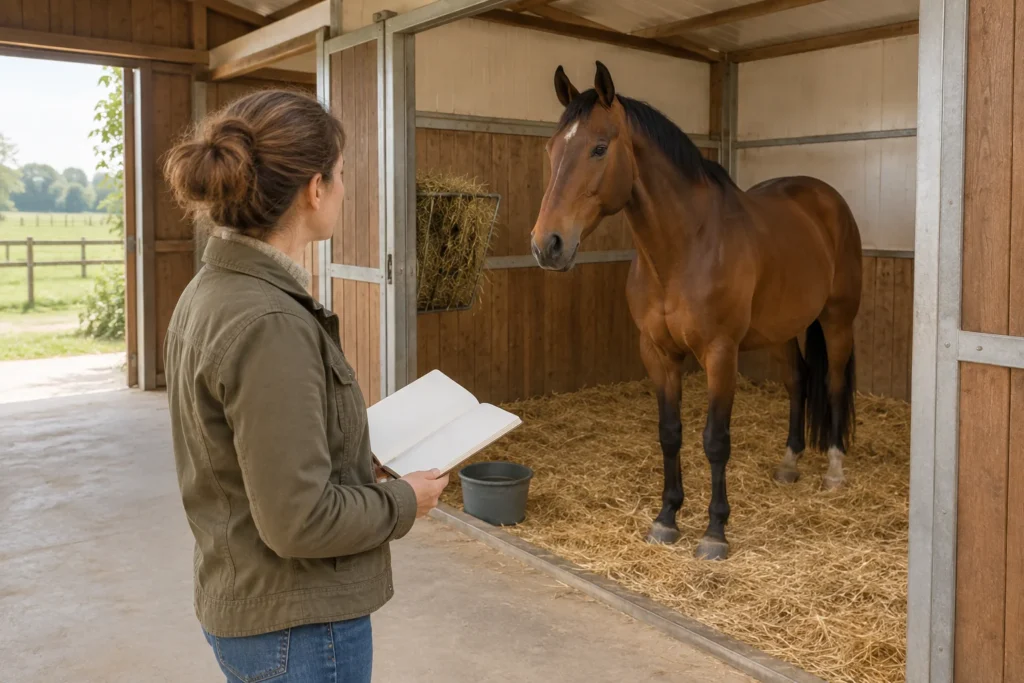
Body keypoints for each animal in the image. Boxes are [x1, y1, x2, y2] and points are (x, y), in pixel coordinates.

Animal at [530, 61, 862, 561]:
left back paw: (834, 472)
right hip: (783, 328)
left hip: (838, 319)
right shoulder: (658, 354)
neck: (685, 248)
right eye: (552, 150)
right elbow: (670, 433)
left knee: (835, 384)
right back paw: (789, 462)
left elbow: (715, 440)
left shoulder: (720, 354)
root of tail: (827, 199)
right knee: (799, 379)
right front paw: (667, 518)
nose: (547, 244)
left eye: (599, 147)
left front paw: (714, 532)